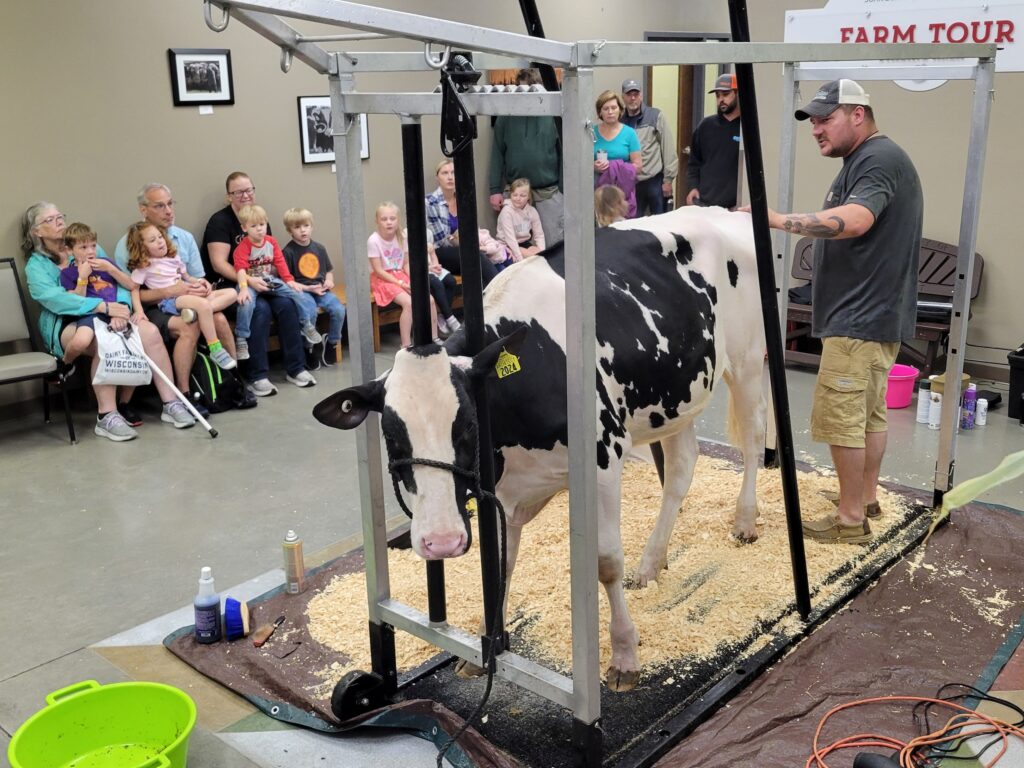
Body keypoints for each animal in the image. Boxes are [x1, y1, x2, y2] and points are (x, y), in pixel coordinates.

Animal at [315, 205, 765, 692]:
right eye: (392, 434)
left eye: (468, 425)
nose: (441, 541)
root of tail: (720, 211)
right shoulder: (501, 486)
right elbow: (499, 565)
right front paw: (486, 647)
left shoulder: (604, 455)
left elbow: (607, 561)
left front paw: (624, 655)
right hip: (677, 395)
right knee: (681, 468)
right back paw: (651, 563)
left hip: (747, 361)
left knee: (754, 439)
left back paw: (744, 520)